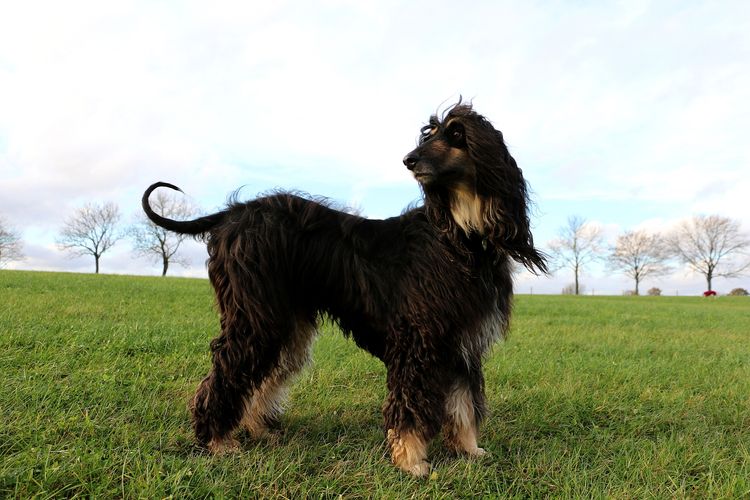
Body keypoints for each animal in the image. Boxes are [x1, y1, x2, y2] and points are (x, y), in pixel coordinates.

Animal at [144, 102, 548, 476]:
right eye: (428, 134)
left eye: (456, 134)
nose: (409, 159)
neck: (461, 237)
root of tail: (233, 212)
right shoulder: (419, 337)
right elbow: (412, 402)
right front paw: (411, 460)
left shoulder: (463, 338)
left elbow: (463, 401)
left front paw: (468, 449)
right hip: (255, 315)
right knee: (230, 368)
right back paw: (217, 440)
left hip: (285, 319)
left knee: (267, 372)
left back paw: (258, 429)